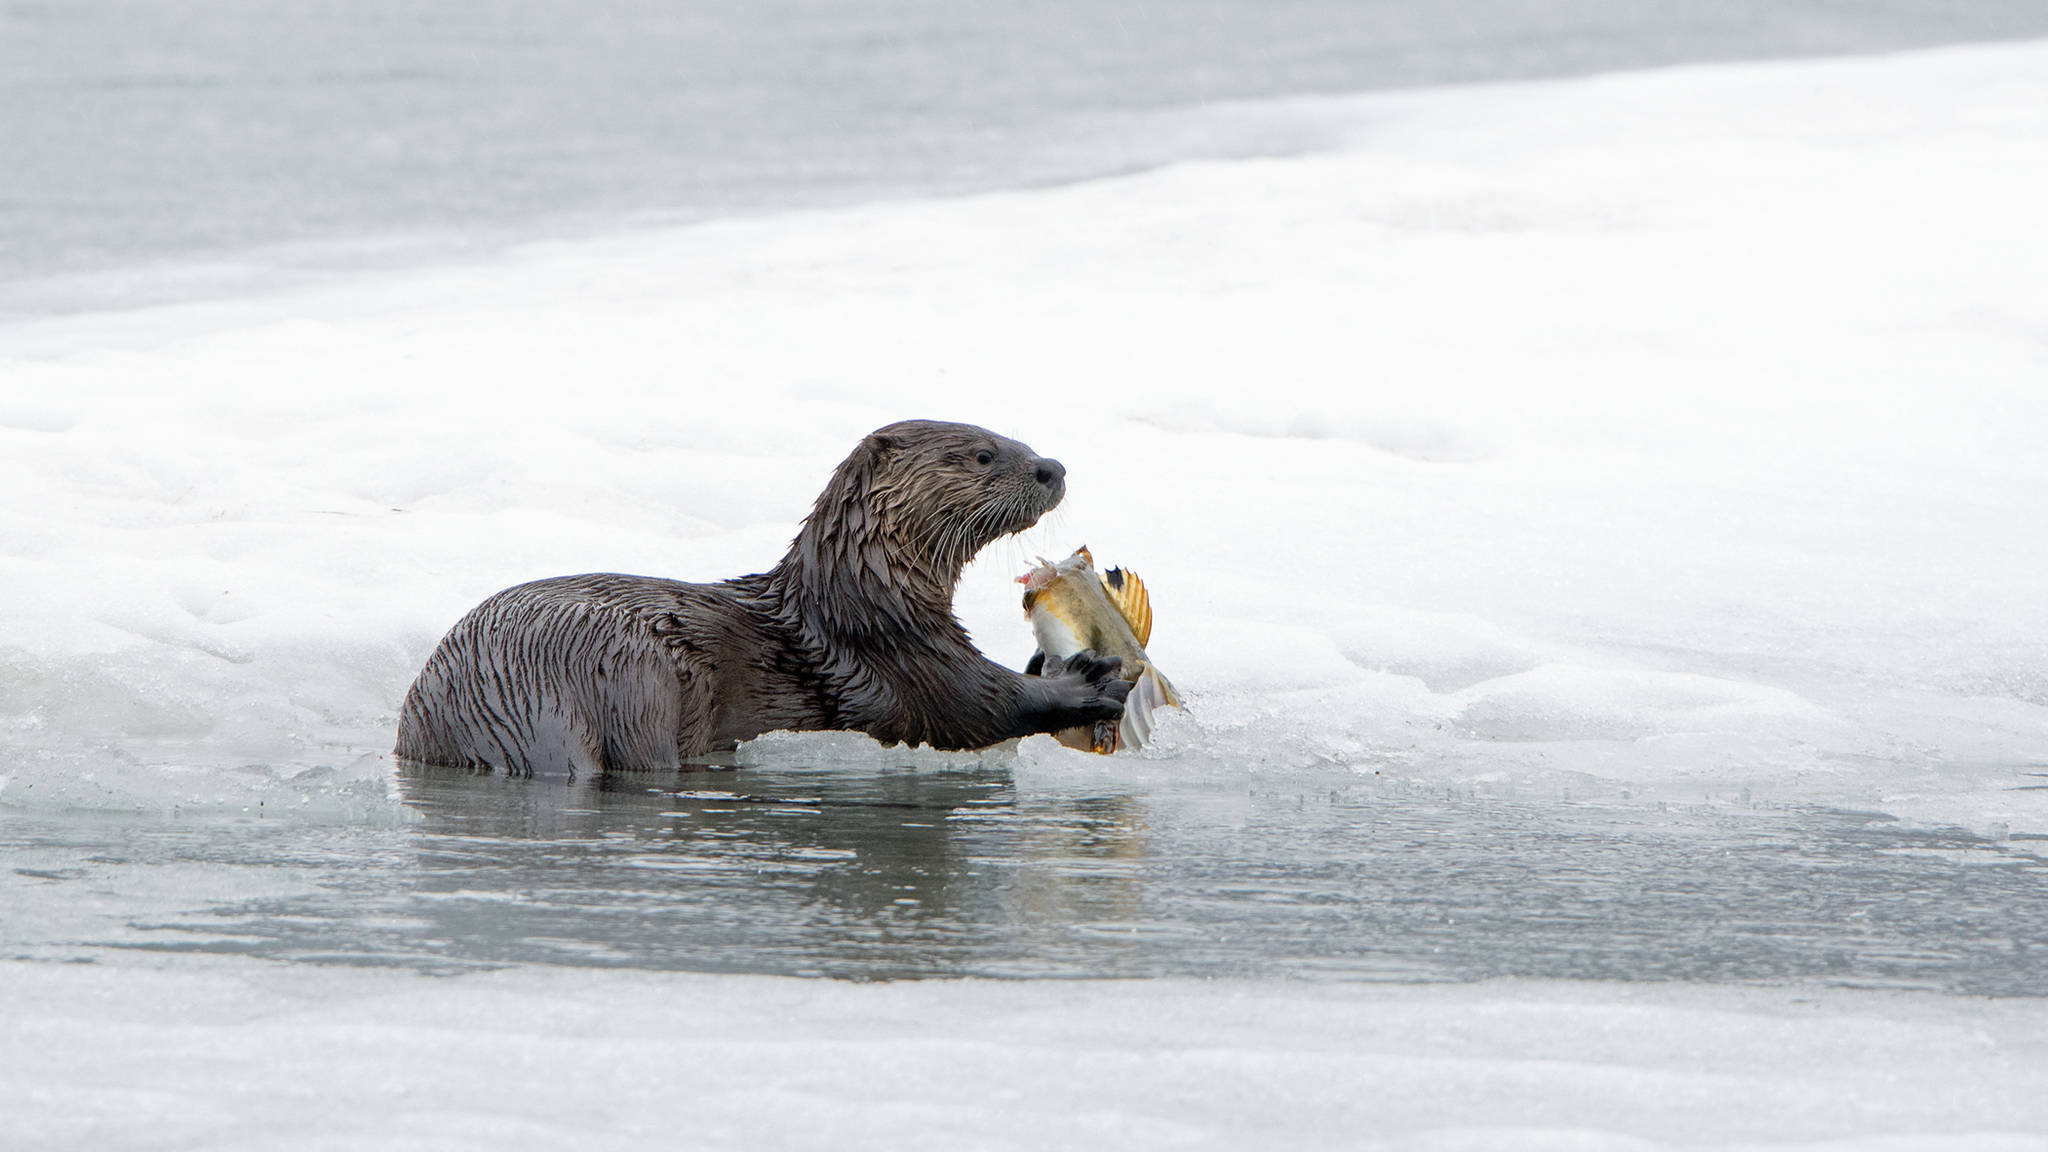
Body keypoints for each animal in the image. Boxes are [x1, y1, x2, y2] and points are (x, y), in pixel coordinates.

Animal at [391, 416, 1130, 774]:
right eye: (982, 453)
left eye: (1016, 440)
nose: (1053, 466)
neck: (868, 597)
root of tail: (509, 692)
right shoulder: (906, 658)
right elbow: (977, 705)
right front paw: (1086, 680)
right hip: (633, 665)